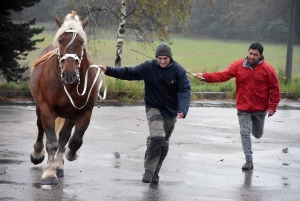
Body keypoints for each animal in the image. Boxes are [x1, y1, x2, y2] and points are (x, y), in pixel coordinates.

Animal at [30, 11, 103, 185]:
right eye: (61, 40)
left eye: (81, 42)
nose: (69, 74)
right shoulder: (46, 109)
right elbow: (51, 141)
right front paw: (49, 173)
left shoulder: (84, 112)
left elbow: (75, 140)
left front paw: (70, 154)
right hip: (39, 108)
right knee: (40, 128)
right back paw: (37, 154)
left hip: (69, 115)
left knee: (64, 136)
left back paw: (59, 165)